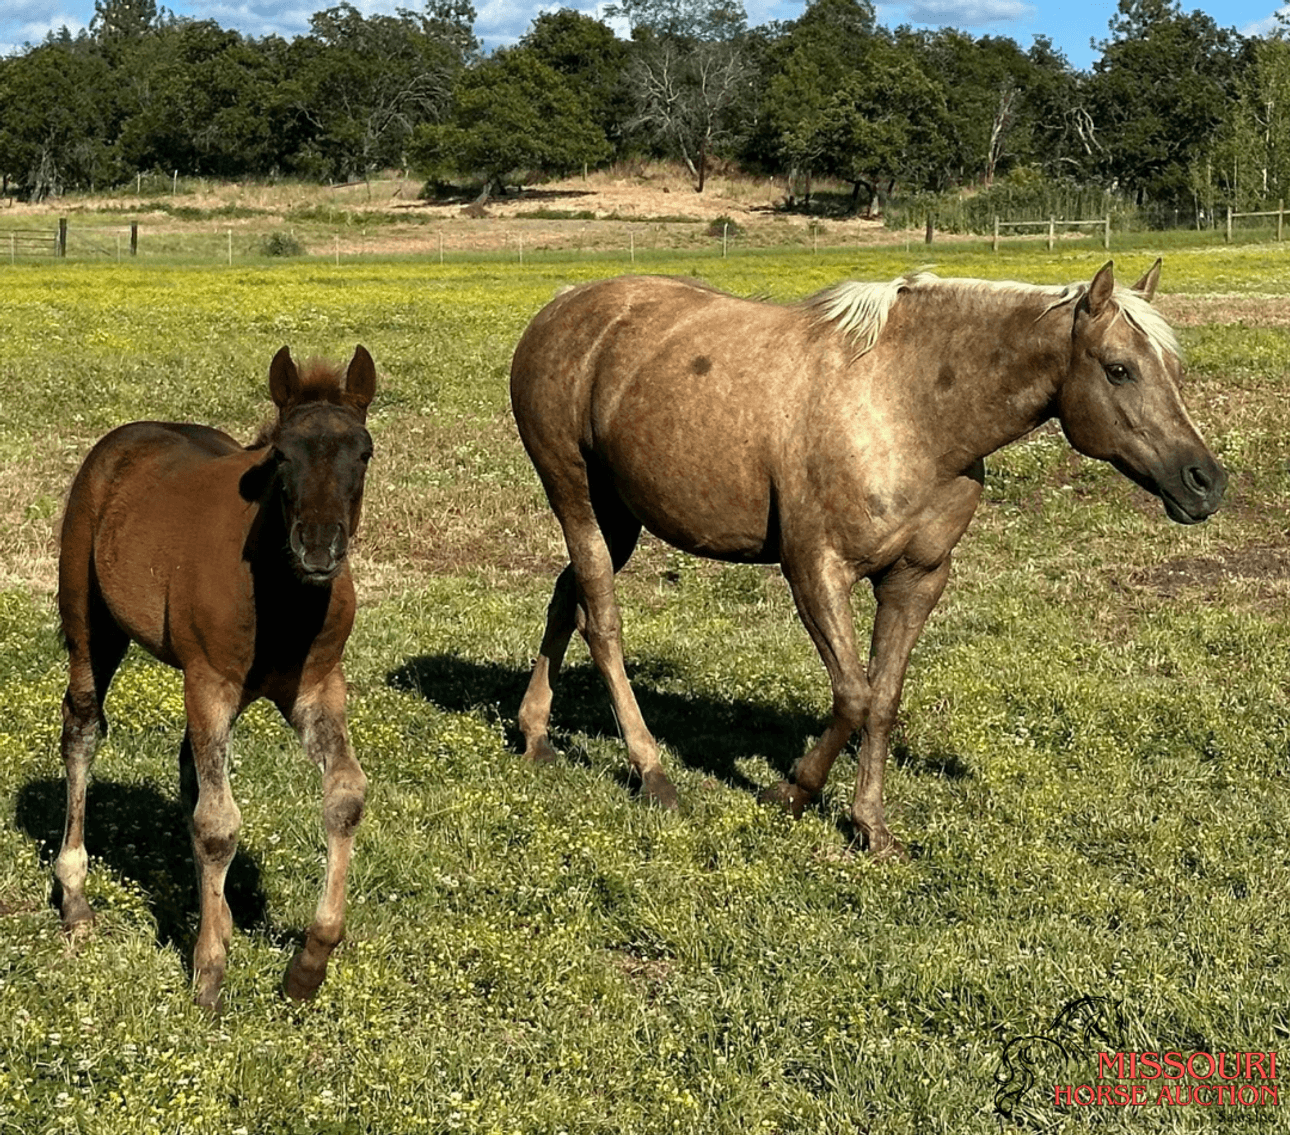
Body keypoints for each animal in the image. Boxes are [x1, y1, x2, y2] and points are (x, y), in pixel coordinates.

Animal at [54, 345, 376, 1008]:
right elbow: (218, 824)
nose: (319, 547)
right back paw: (75, 898)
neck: (282, 599)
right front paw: (208, 973)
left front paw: (308, 964)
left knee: (188, 767)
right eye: (282, 455)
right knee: (83, 729)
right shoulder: (208, 683)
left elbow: (345, 795)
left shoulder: (317, 686)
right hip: (92, 623)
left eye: (364, 451)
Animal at [509, 260, 1226, 857]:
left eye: (1175, 371)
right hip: (575, 496)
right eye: (1118, 368)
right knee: (602, 623)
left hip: (618, 516)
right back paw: (653, 773)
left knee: (567, 598)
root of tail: (560, 307)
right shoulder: (815, 571)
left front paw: (870, 828)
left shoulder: (915, 581)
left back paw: (536, 736)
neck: (909, 410)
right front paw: (792, 792)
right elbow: (852, 695)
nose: (1205, 482)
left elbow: (882, 700)